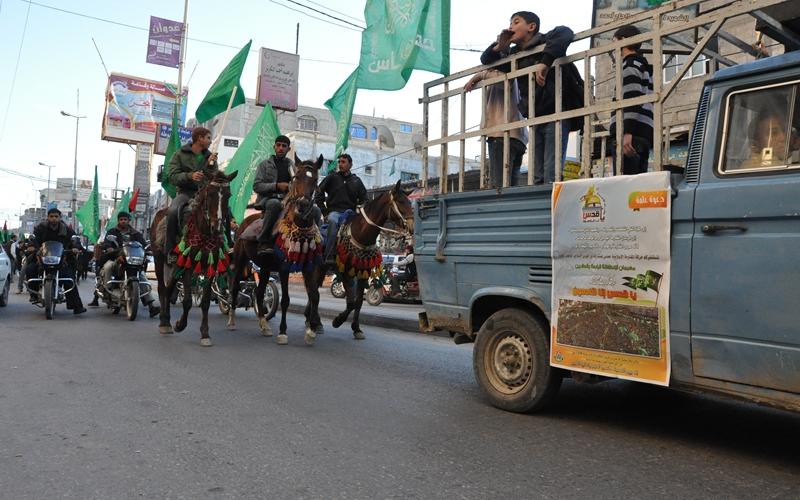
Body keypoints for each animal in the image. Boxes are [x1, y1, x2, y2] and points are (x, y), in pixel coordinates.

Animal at [148, 170, 238, 346]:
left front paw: (205, 334)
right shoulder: (188, 265)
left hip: (175, 265)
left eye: (228, 195)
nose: (217, 228)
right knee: (162, 288)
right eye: (210, 193)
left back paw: (166, 320)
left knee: (169, 289)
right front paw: (180, 325)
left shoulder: (210, 266)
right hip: (159, 259)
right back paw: (164, 323)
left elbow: (205, 302)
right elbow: (188, 300)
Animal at [225, 154, 324, 346]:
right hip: (240, 258)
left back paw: (264, 325)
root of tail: (243, 224)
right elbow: (285, 300)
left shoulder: (309, 266)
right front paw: (283, 333)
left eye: (315, 179)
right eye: (296, 177)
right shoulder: (284, 267)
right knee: (234, 287)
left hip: (264, 267)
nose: (302, 204)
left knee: (260, 292)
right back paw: (231, 321)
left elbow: (314, 296)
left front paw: (311, 331)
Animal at [332, 180, 416, 340]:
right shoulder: (346, 272)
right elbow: (352, 302)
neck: (361, 233)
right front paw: (338, 320)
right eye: (400, 202)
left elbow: (358, 302)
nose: (412, 227)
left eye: (410, 202)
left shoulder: (362, 272)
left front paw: (356, 328)